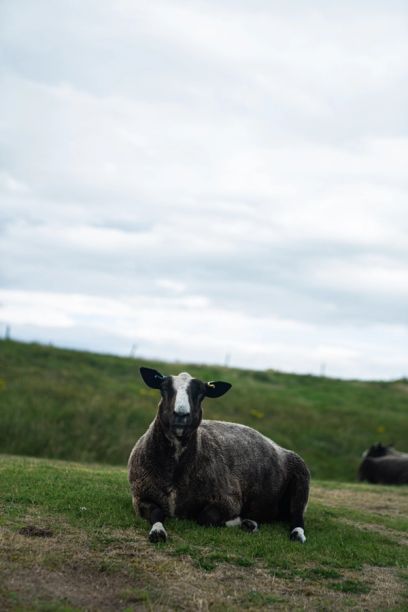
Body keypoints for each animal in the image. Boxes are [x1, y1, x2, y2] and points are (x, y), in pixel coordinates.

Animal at [128, 366, 310, 544]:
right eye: (163, 388)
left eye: (201, 394)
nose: (181, 414)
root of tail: (279, 447)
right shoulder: (140, 497)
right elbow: (157, 513)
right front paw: (157, 532)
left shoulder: (229, 500)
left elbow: (206, 517)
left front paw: (240, 520)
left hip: (301, 481)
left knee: (297, 515)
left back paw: (294, 534)